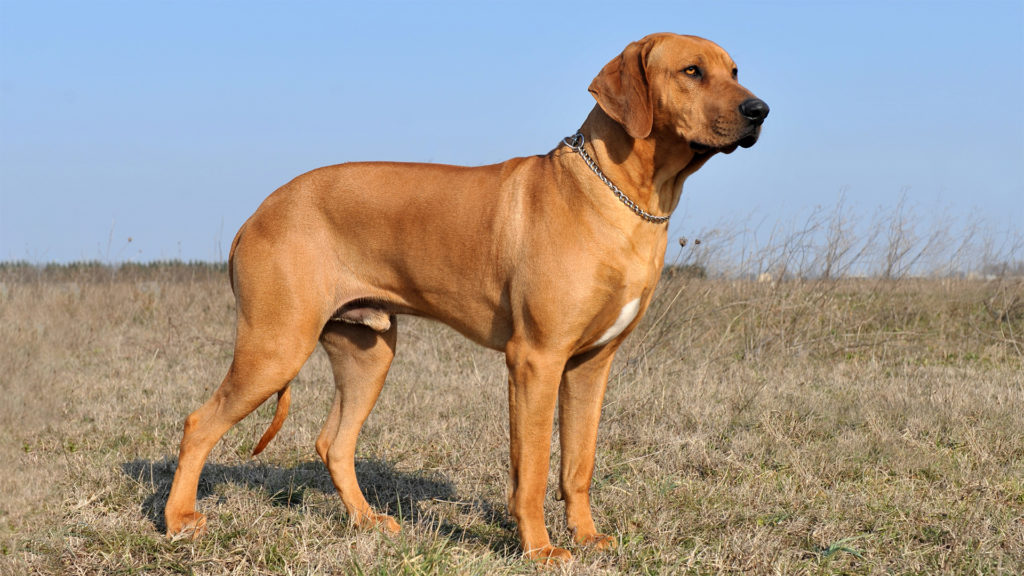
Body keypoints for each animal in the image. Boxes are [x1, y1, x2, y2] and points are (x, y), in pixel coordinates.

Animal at [163, 31, 765, 561]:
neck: (622, 197)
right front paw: (540, 549)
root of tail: (256, 215)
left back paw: (366, 521)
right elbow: (532, 470)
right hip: (275, 347)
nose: (759, 110)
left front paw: (588, 537)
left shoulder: (591, 364)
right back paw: (178, 521)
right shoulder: (536, 360)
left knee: (333, 443)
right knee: (198, 424)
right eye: (692, 71)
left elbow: (579, 464)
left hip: (368, 353)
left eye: (735, 70)